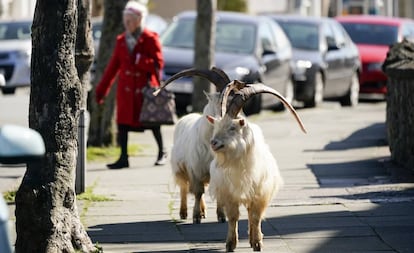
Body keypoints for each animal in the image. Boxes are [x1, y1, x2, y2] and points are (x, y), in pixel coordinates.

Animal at [206, 82, 306, 251]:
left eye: (232, 128)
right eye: (216, 126)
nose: (214, 143)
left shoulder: (260, 193)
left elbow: (255, 216)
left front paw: (258, 243)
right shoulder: (229, 194)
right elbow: (233, 217)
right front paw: (230, 244)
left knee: (251, 214)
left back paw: (253, 239)